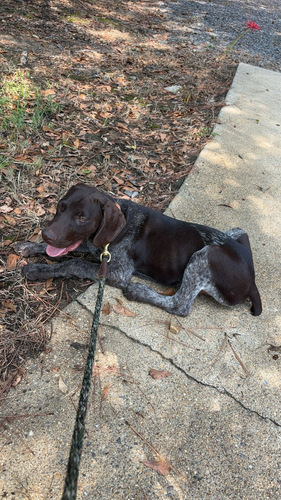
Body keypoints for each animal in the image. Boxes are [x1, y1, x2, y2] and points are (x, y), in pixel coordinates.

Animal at [14, 184, 260, 316]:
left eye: (82, 217)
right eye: (60, 207)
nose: (47, 234)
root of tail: (252, 282)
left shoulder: (117, 272)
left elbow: (74, 263)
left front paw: (38, 270)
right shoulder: (93, 244)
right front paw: (31, 246)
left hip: (206, 255)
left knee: (180, 305)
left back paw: (139, 291)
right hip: (238, 232)